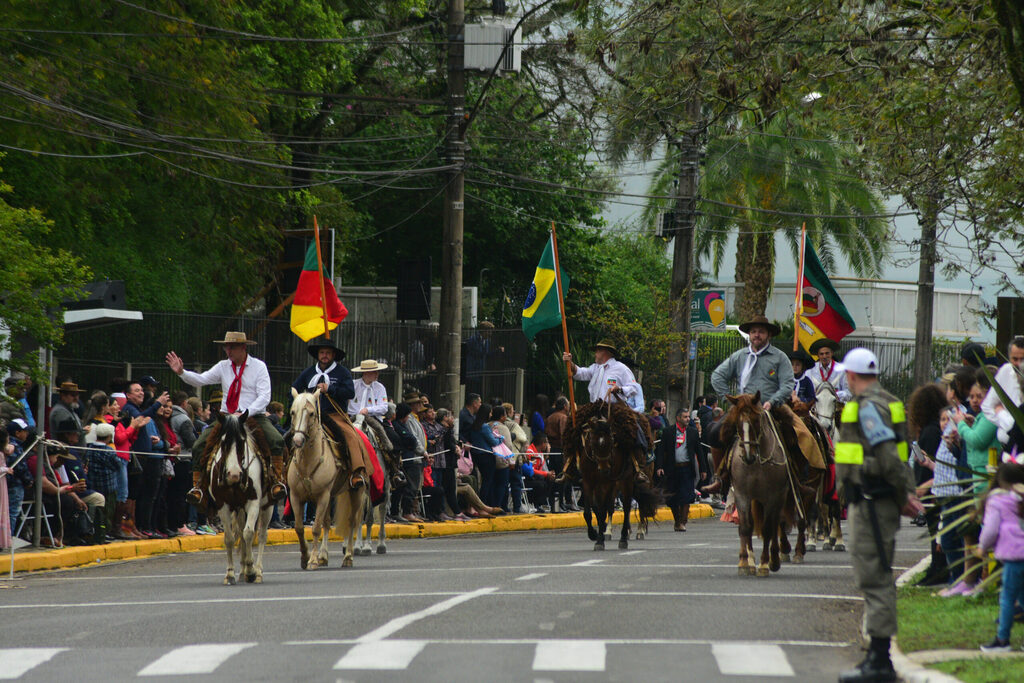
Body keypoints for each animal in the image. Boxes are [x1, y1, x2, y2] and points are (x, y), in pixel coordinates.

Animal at [205, 413, 272, 585]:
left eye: (242, 441)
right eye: (223, 442)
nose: (234, 474)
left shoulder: (253, 503)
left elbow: (249, 533)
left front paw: (251, 570)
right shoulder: (222, 505)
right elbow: (229, 538)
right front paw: (230, 574)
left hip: (267, 506)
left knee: (261, 535)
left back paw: (257, 571)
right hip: (239, 509)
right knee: (240, 533)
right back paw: (242, 572)